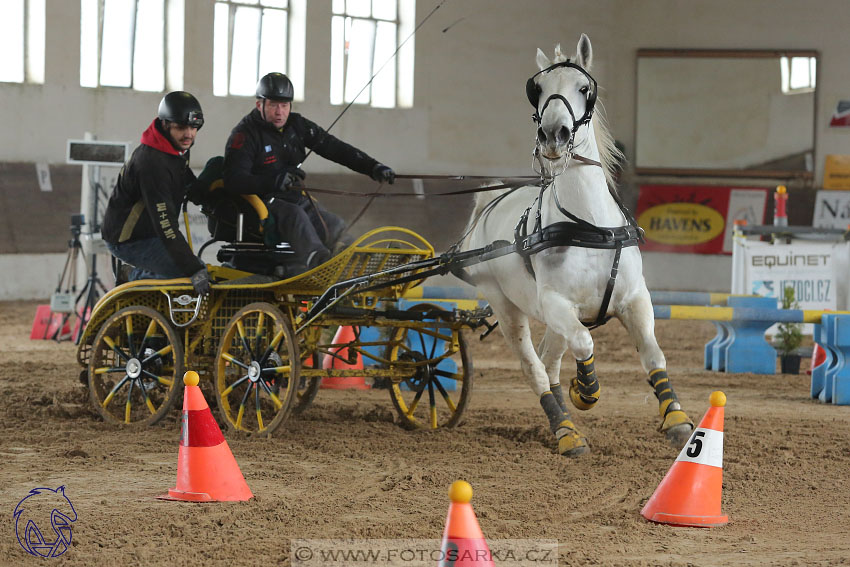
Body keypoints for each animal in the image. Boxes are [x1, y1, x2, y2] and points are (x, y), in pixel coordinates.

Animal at [460, 34, 692, 458]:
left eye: (584, 88)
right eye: (537, 90)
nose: (553, 135)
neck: (590, 227)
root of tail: (490, 202)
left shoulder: (635, 298)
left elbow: (653, 353)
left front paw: (677, 421)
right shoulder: (557, 303)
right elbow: (584, 344)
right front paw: (584, 392)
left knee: (549, 360)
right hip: (507, 306)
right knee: (535, 367)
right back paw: (566, 430)